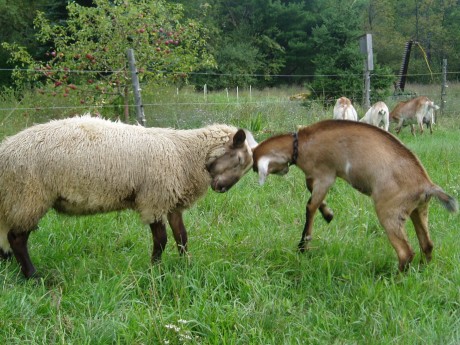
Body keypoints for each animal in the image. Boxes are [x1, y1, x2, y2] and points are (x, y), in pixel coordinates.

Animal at [0, 115, 258, 276]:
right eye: (238, 160)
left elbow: (182, 237)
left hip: (14, 198)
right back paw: (33, 276)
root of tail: (6, 148)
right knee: (17, 239)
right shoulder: (154, 199)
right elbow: (161, 240)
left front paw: (186, 266)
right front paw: (155, 271)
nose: (221, 189)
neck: (184, 153)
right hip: (28, 195)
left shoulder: (172, 202)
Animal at [253, 119, 458, 270]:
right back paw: (422, 271)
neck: (301, 143)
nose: (254, 169)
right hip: (419, 210)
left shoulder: (325, 175)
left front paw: (304, 245)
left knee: (406, 252)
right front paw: (328, 214)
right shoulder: (316, 177)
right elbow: (312, 193)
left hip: (390, 212)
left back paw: (395, 280)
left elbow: (310, 205)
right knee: (427, 245)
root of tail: (426, 185)